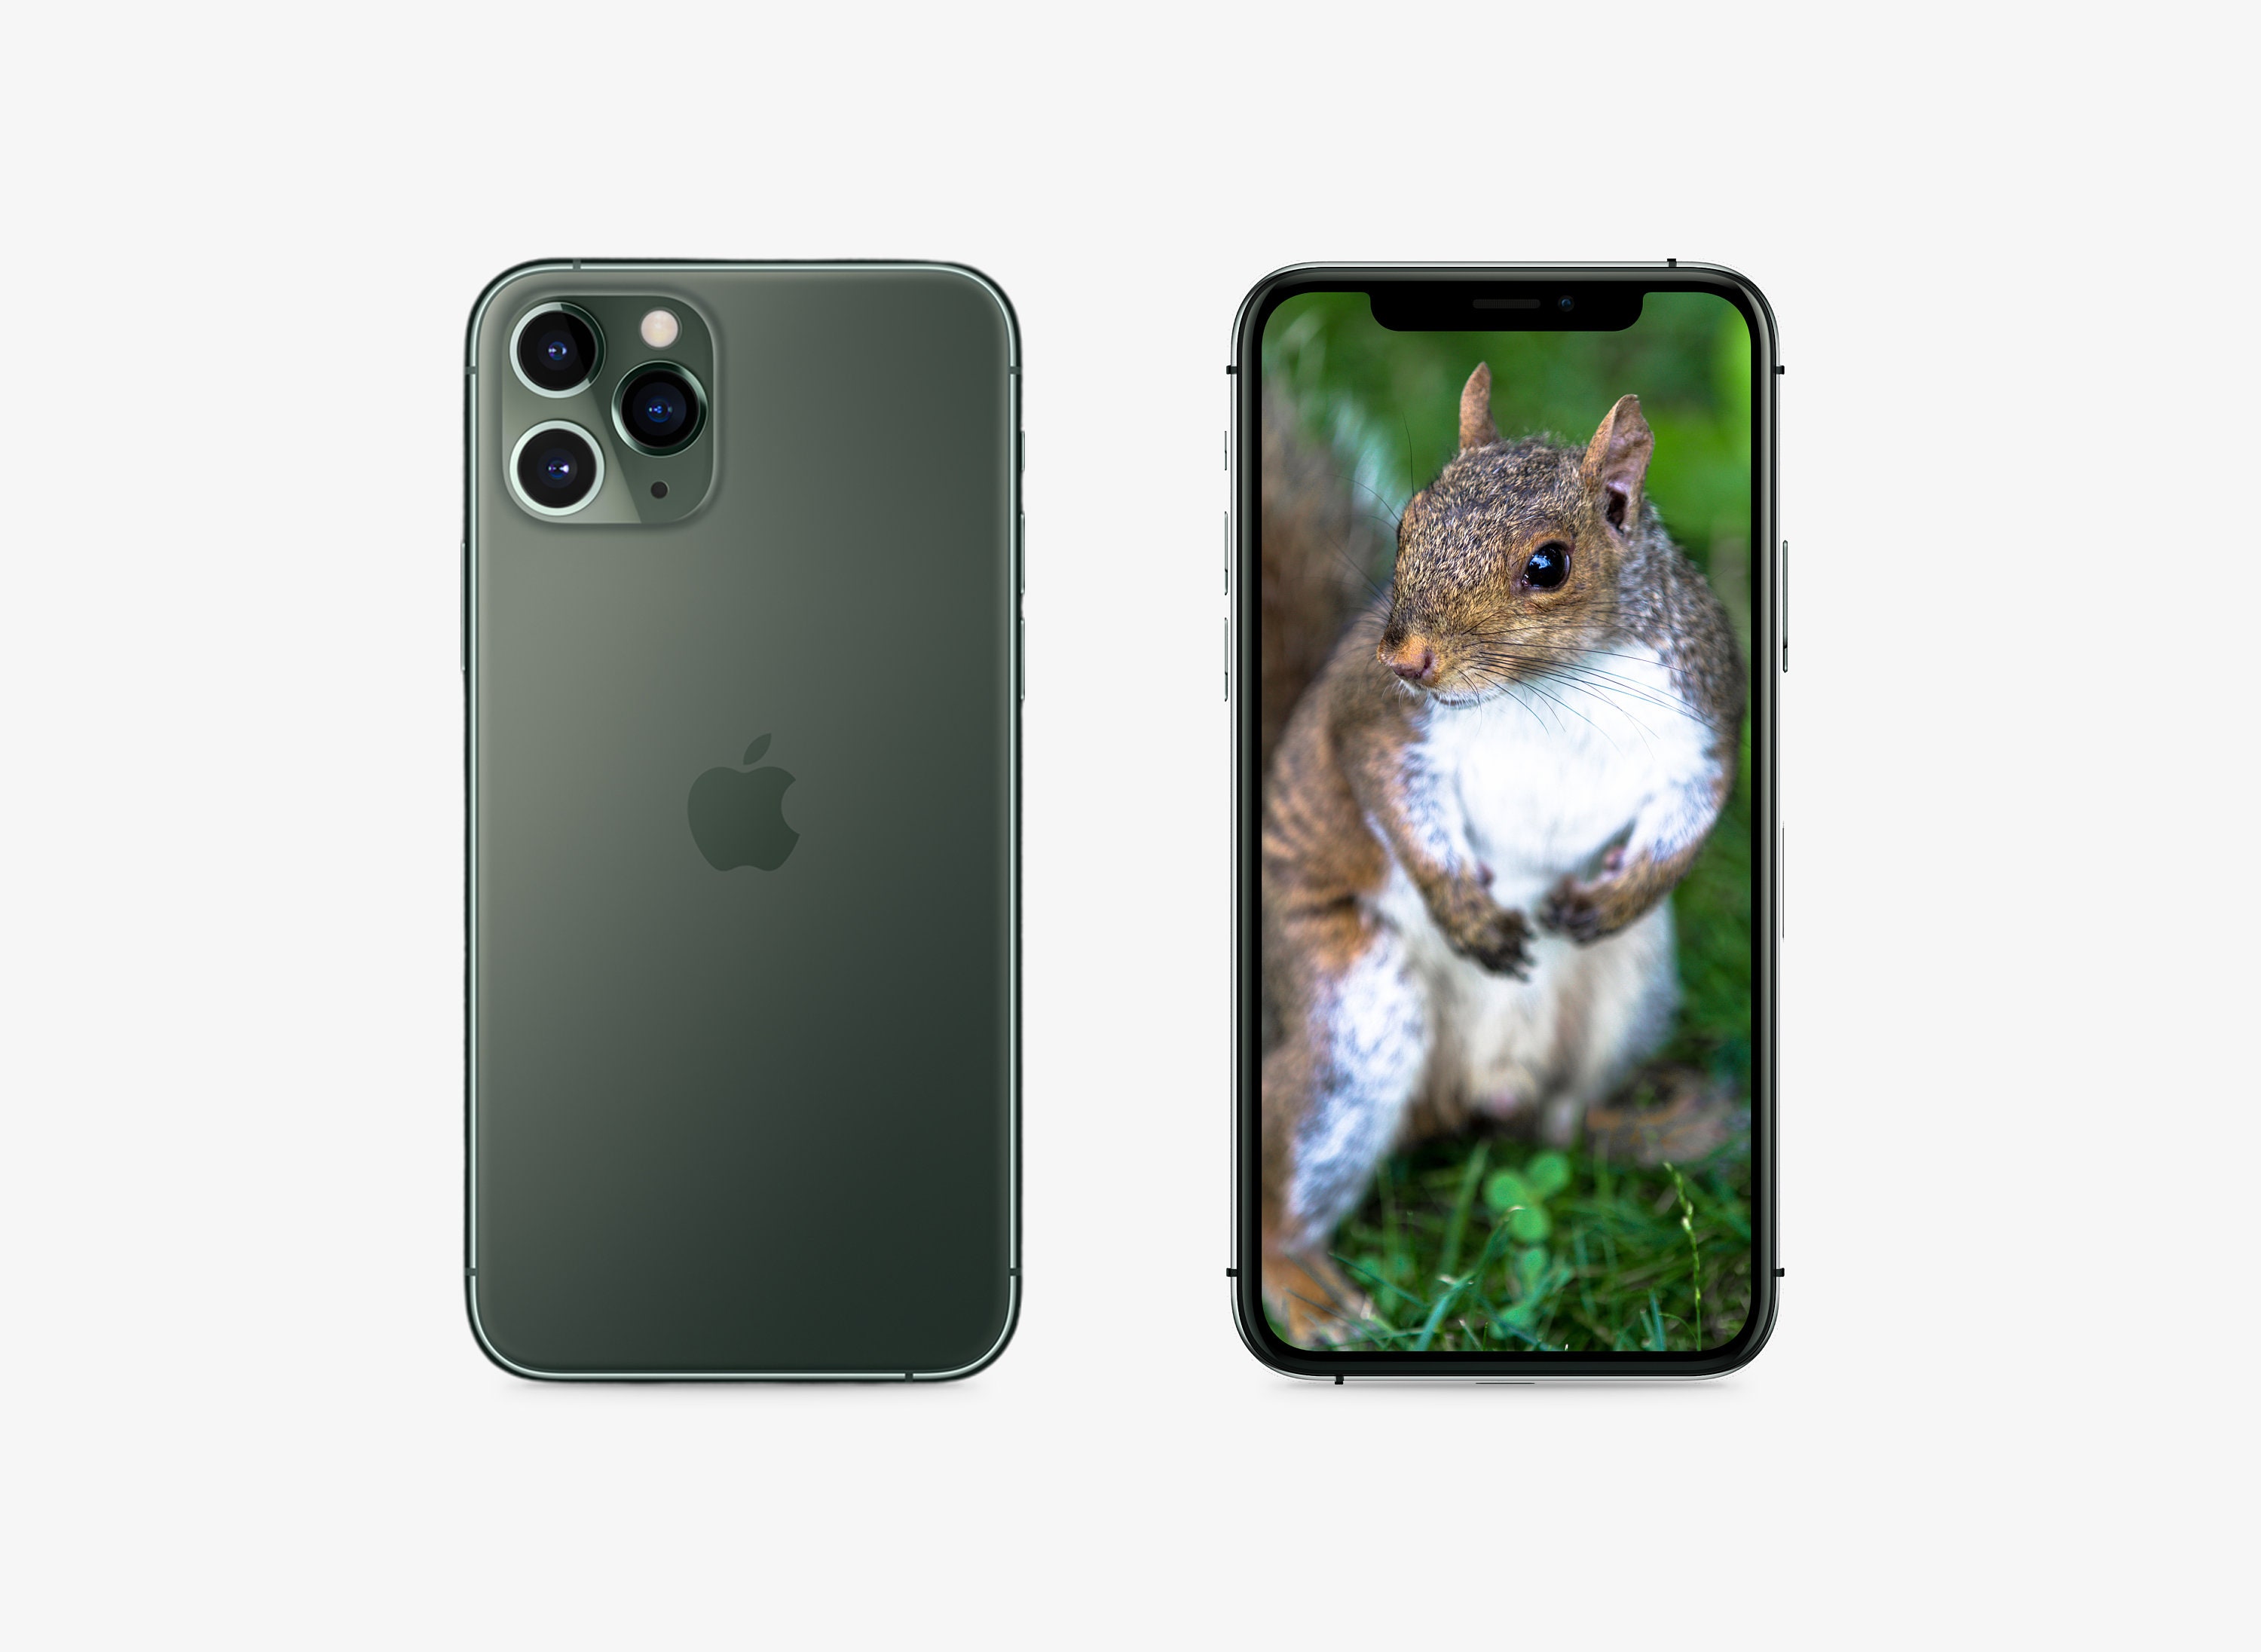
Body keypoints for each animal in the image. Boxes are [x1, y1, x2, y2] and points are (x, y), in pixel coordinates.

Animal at [1258, 363, 1745, 1346]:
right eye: (1406, 522)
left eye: (1548, 564)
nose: (1407, 657)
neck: (1556, 685)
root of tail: (1476, 1088)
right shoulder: (1380, 722)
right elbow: (1391, 798)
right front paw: (1466, 912)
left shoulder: (1706, 717)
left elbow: (1695, 812)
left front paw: (1620, 891)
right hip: (1349, 1014)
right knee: (1287, 1176)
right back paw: (1304, 1286)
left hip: (1632, 988)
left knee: (1554, 1125)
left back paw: (1655, 1130)